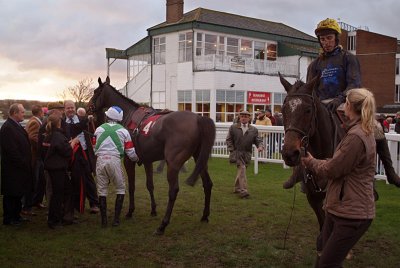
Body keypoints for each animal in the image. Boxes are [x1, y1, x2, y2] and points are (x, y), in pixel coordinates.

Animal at [89, 76, 217, 233]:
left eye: (95, 92)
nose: (88, 106)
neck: (129, 115)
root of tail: (198, 119)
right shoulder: (147, 160)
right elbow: (150, 185)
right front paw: (153, 209)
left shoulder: (129, 161)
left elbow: (131, 186)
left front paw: (130, 211)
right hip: (200, 158)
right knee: (207, 184)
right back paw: (204, 216)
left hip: (173, 163)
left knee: (173, 190)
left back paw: (163, 225)